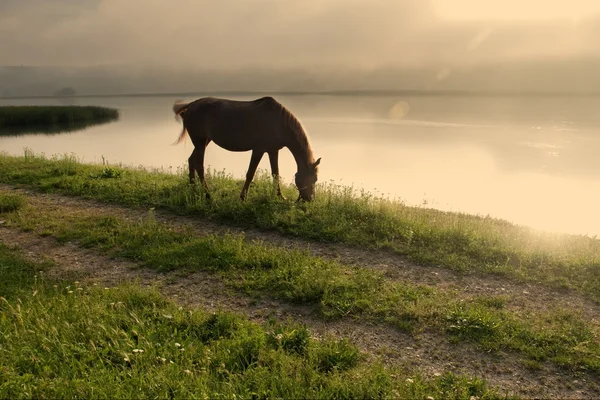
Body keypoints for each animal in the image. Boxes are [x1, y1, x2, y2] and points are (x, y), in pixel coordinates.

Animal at [171, 96, 322, 202]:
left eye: (315, 179)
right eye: (311, 179)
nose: (310, 199)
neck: (278, 122)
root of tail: (191, 105)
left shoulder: (273, 150)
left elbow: (276, 173)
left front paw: (280, 196)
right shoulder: (258, 150)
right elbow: (250, 174)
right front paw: (243, 197)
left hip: (204, 142)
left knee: (191, 160)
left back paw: (192, 187)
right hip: (200, 142)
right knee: (199, 165)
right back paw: (208, 195)